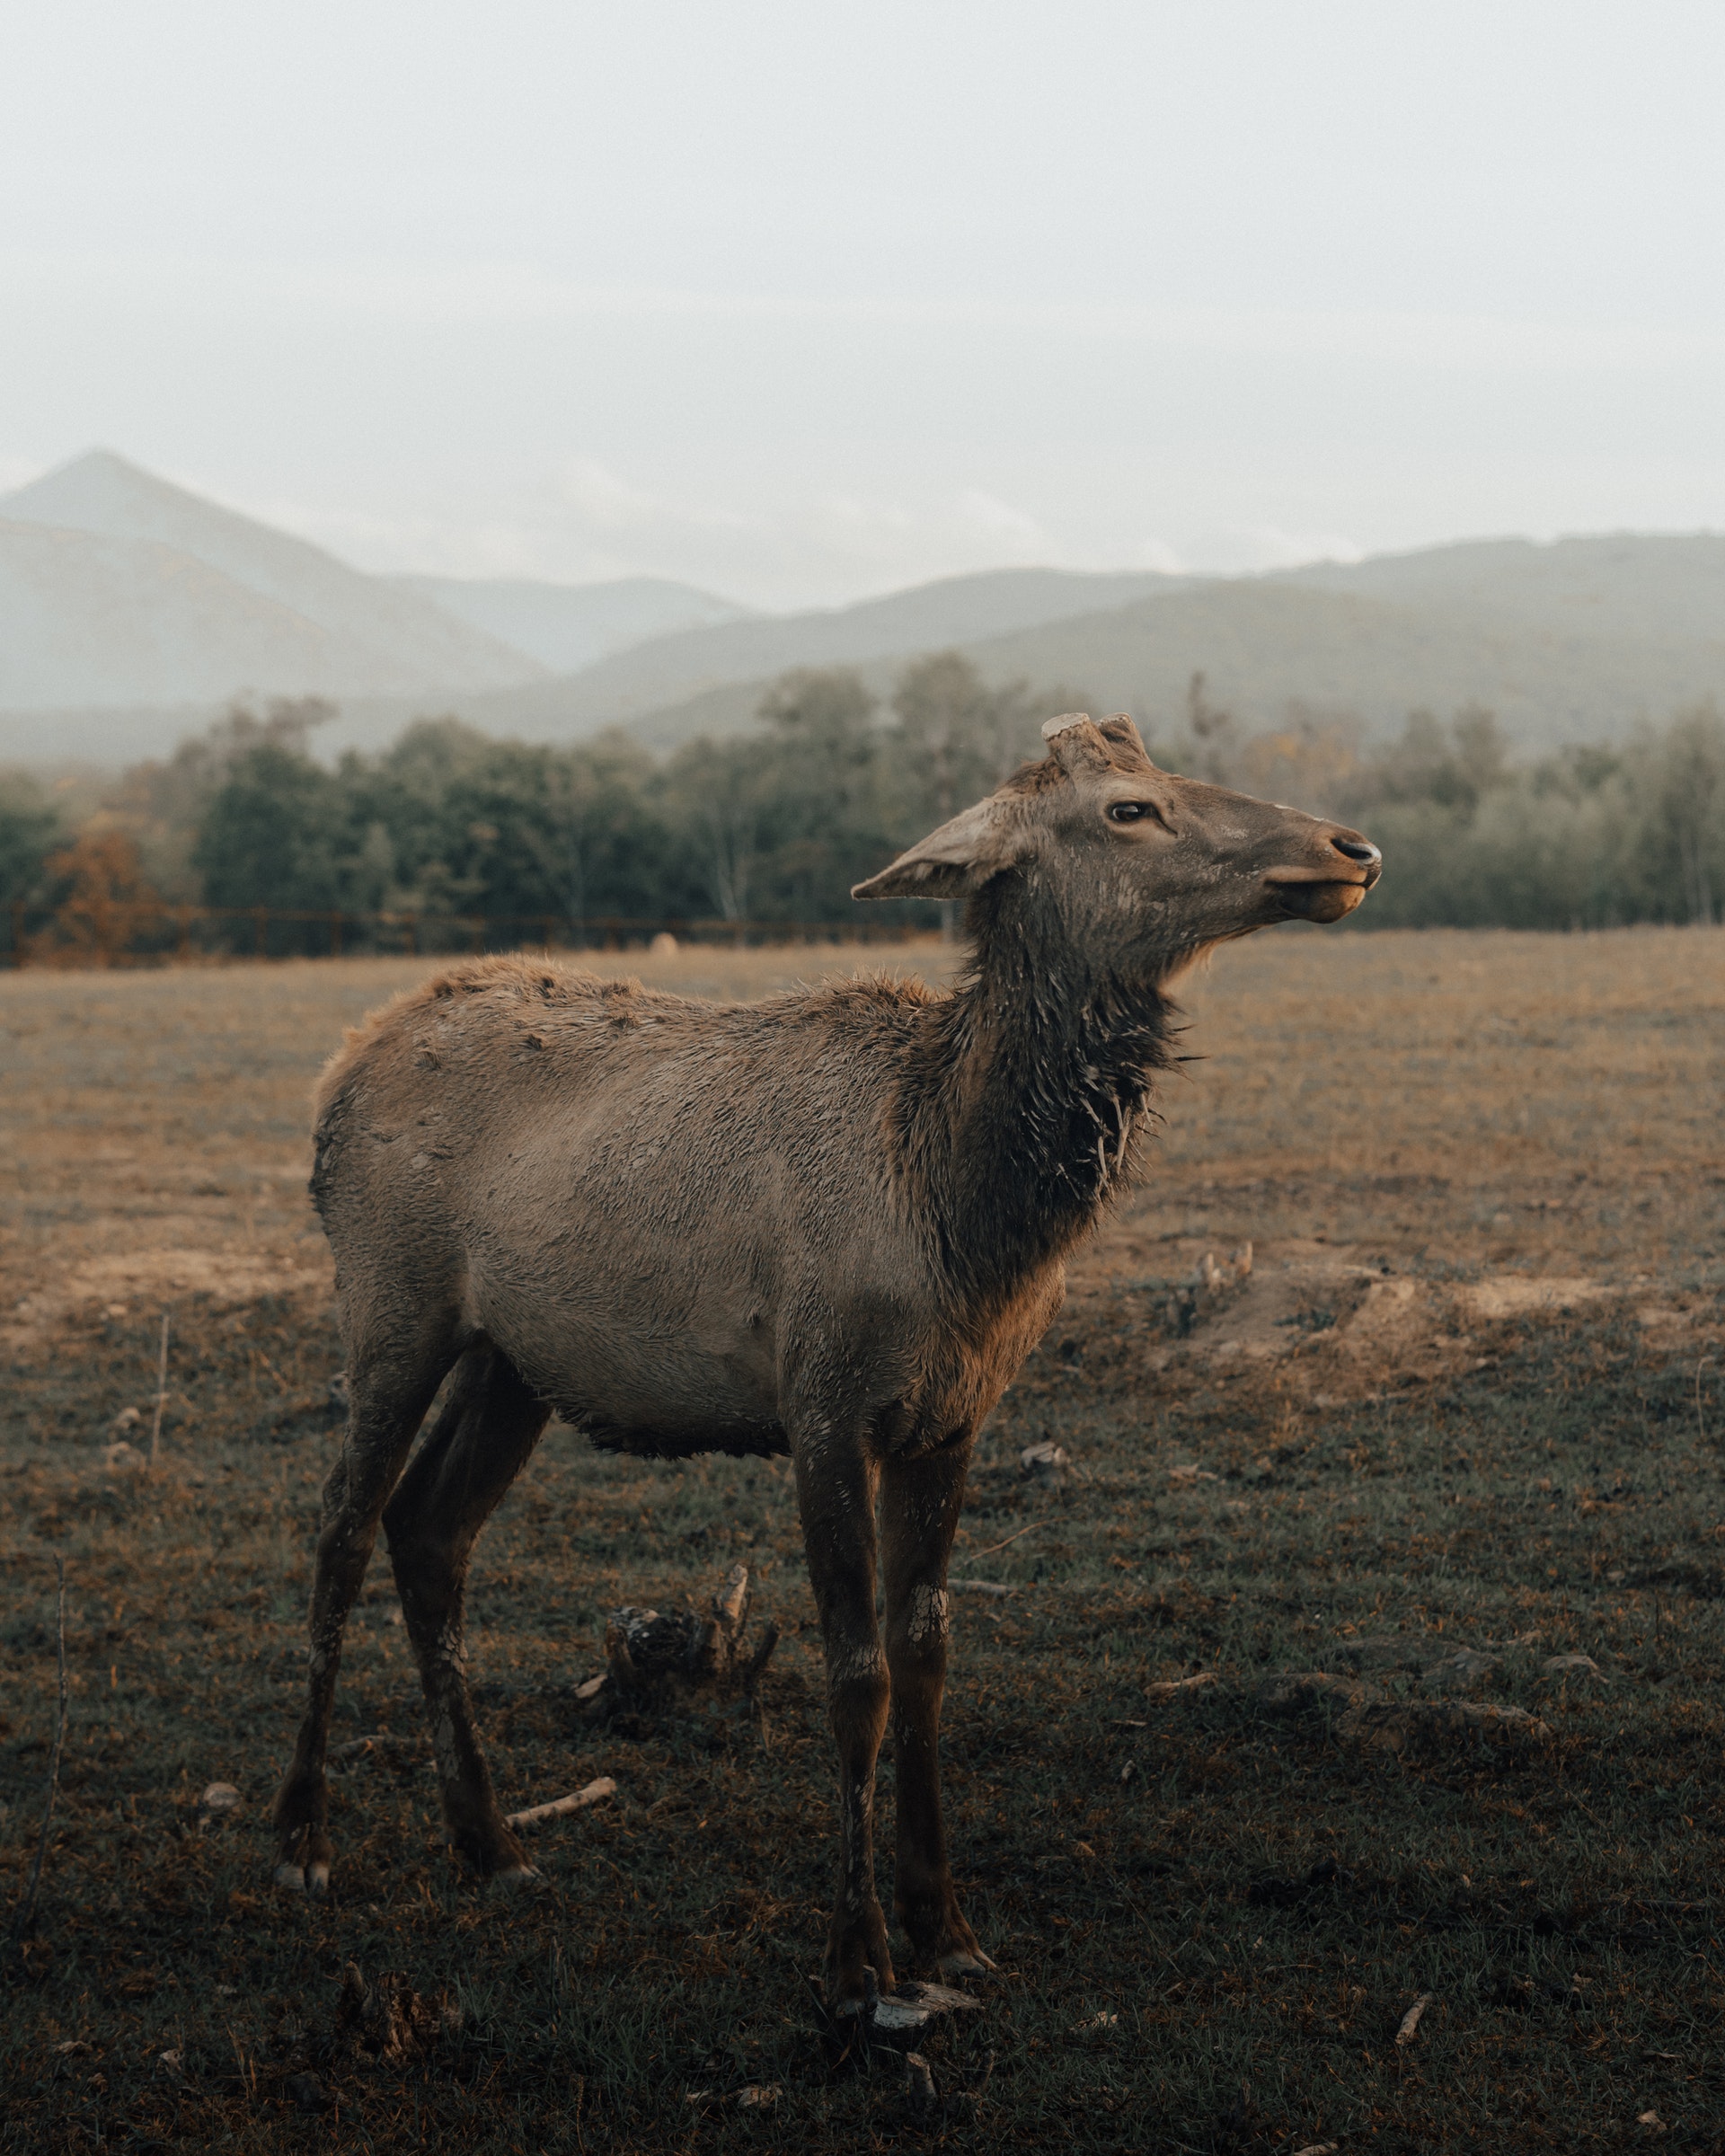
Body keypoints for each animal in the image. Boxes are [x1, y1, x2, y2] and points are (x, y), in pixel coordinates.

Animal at [271, 711, 1380, 2010]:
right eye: (1128, 809)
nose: (1350, 848)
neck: (959, 1215)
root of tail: (341, 1072)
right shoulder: (821, 1404)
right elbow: (856, 1674)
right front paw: (860, 1956)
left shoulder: (955, 1418)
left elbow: (927, 1656)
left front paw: (947, 1925)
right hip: (391, 1300)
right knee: (343, 1527)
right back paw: (303, 1839)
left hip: (512, 1359)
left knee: (431, 1530)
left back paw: (490, 1843)